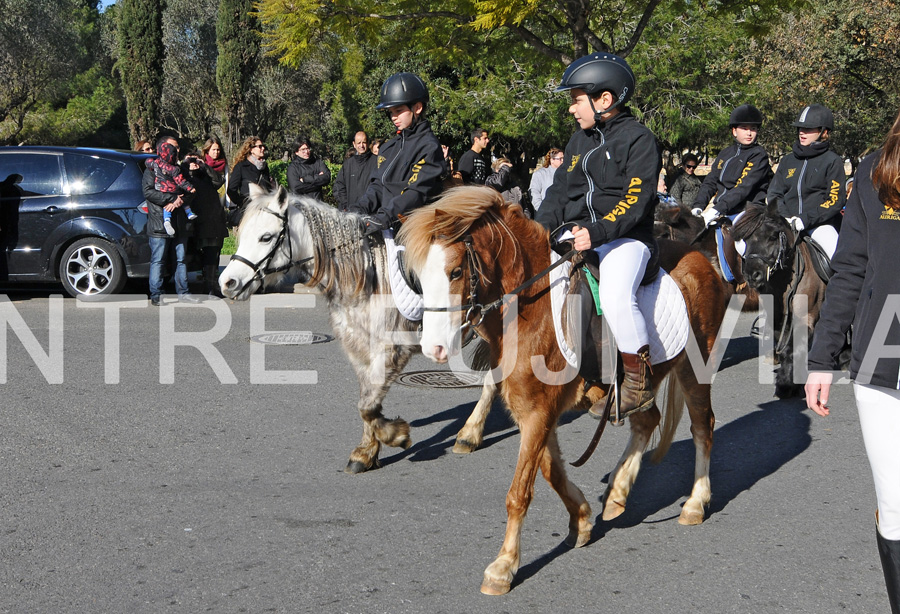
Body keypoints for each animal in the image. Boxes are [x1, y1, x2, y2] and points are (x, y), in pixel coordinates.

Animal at [400, 188, 732, 596]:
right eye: (418, 276)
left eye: (457, 272)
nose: (434, 348)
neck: (529, 308)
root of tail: (701, 258)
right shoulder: (535, 412)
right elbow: (550, 472)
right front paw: (583, 520)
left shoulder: (538, 413)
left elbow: (519, 493)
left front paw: (503, 567)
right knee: (647, 419)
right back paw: (617, 492)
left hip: (694, 367)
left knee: (702, 427)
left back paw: (695, 503)